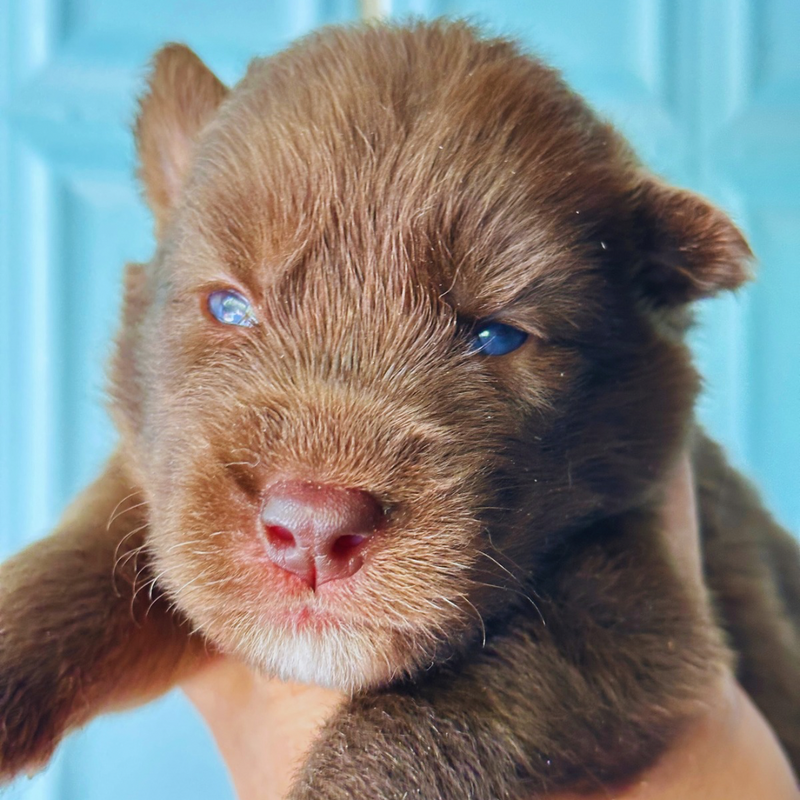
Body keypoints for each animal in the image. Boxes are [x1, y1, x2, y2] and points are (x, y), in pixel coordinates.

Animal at [1, 20, 800, 800]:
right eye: (228, 306)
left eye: (497, 335)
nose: (313, 528)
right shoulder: (160, 500)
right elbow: (83, 559)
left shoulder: (643, 614)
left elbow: (430, 715)